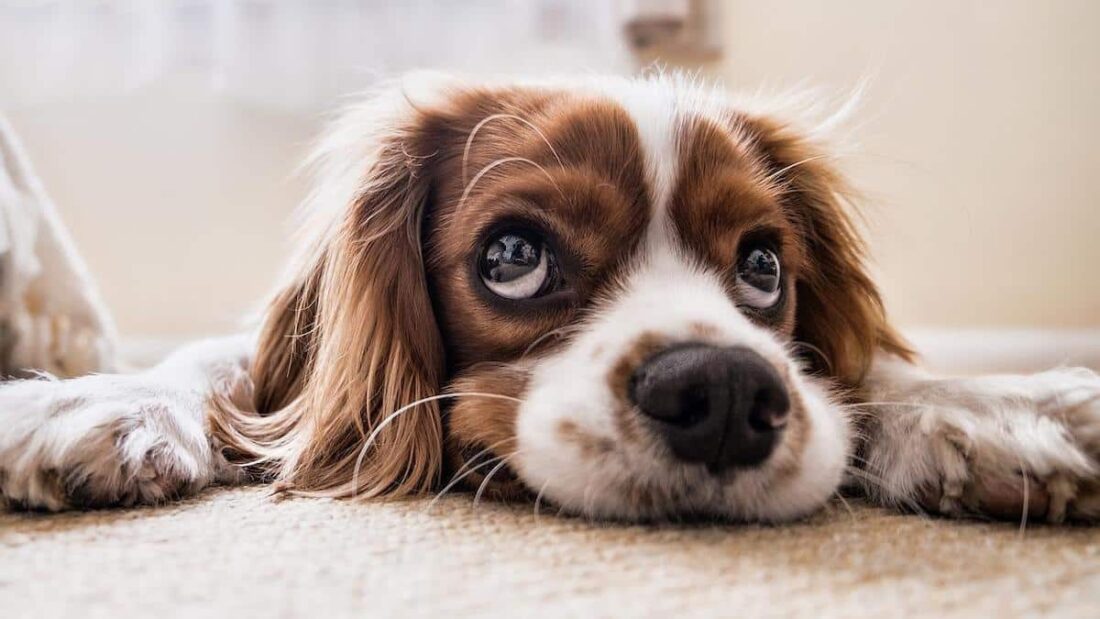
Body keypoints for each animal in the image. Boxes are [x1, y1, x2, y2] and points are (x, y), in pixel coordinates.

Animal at [2, 73, 1100, 523]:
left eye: (762, 267)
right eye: (513, 255)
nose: (723, 392)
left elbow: (870, 372)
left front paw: (995, 407)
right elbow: (219, 366)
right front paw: (95, 401)